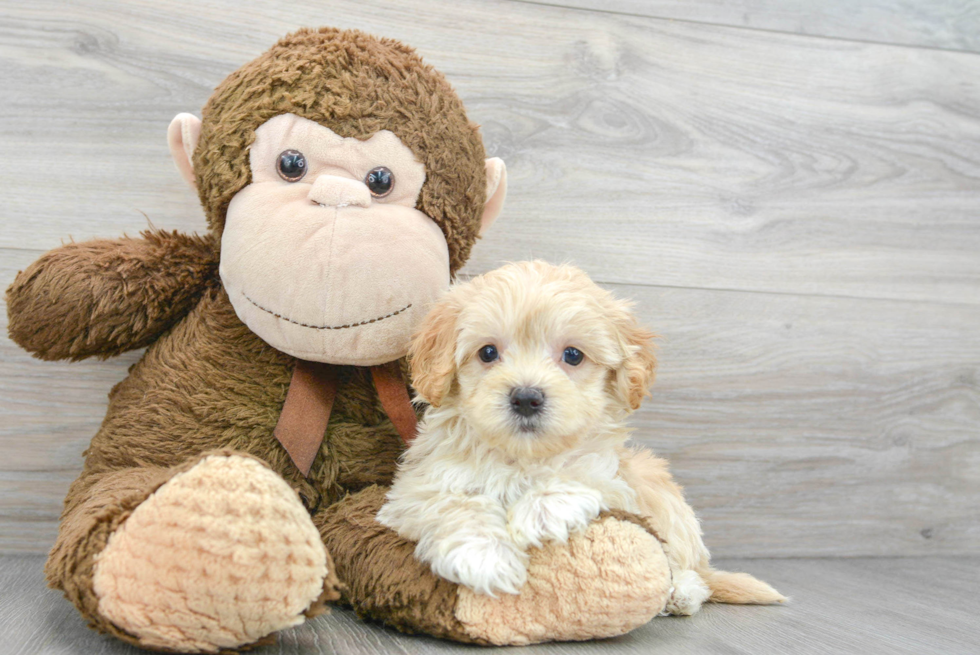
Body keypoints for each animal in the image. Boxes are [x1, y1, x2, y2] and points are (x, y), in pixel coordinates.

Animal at [378, 262, 788, 616]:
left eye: (573, 355)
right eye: (488, 352)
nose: (526, 397)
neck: (523, 458)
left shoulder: (616, 482)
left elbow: (580, 476)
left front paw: (541, 510)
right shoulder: (416, 487)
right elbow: (453, 503)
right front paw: (485, 556)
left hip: (664, 498)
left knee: (686, 566)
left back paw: (681, 592)